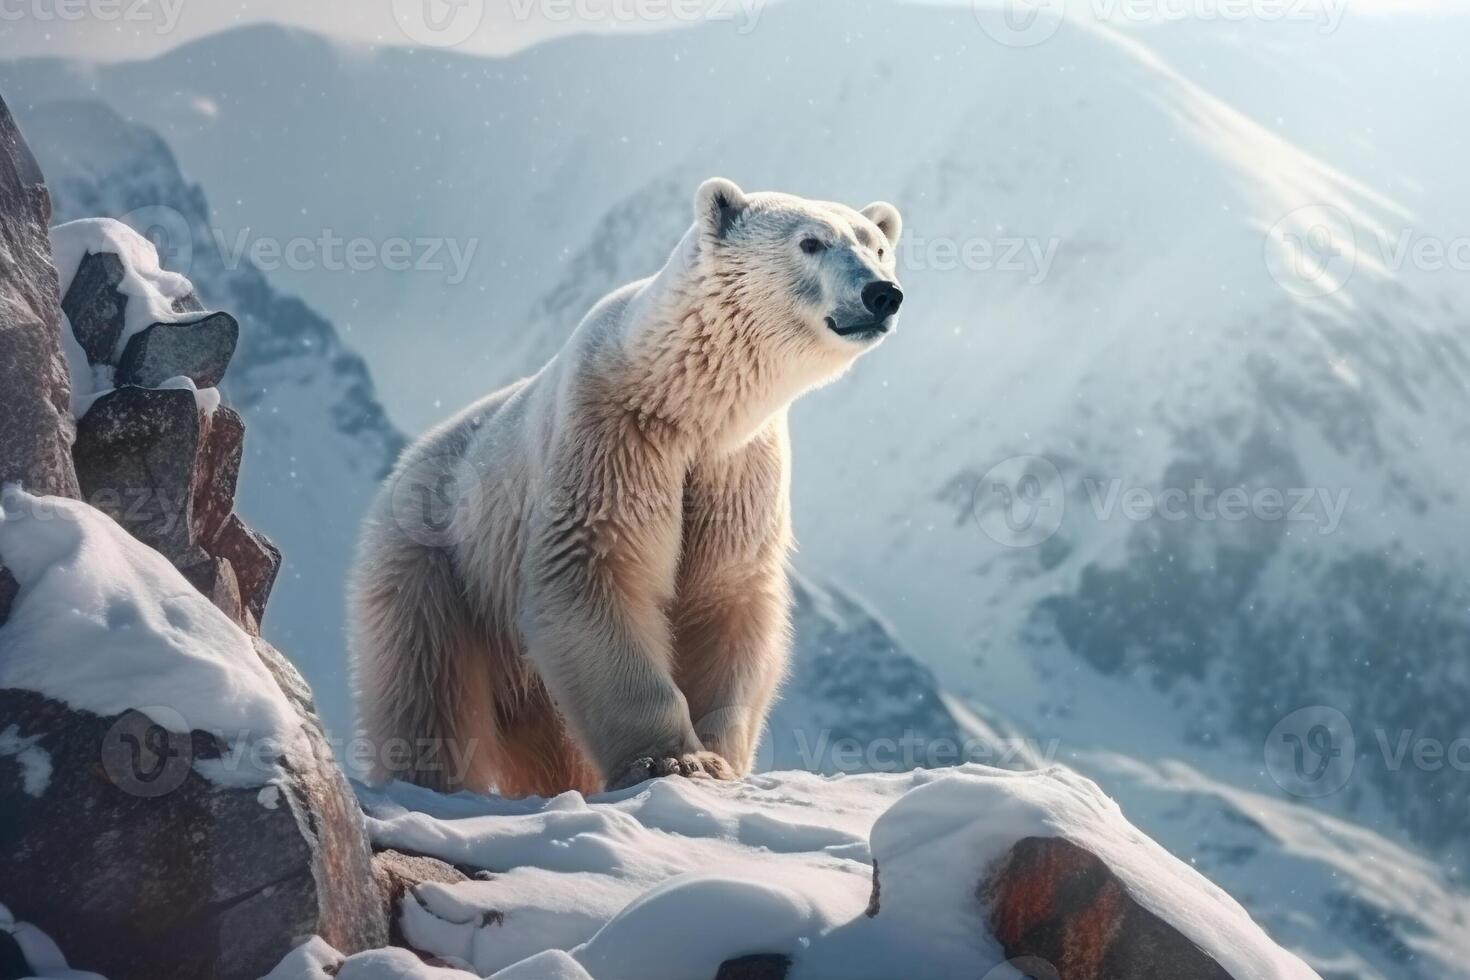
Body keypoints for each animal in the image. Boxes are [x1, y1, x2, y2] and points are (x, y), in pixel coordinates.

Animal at [349, 178, 899, 799]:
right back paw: (428, 781)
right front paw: (671, 761)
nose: (883, 294)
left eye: (877, 245)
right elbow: (598, 569)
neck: (684, 397)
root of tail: (405, 463)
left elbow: (725, 594)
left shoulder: (738, 467)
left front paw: (718, 759)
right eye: (811, 242)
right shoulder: (613, 433)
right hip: (438, 563)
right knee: (427, 683)